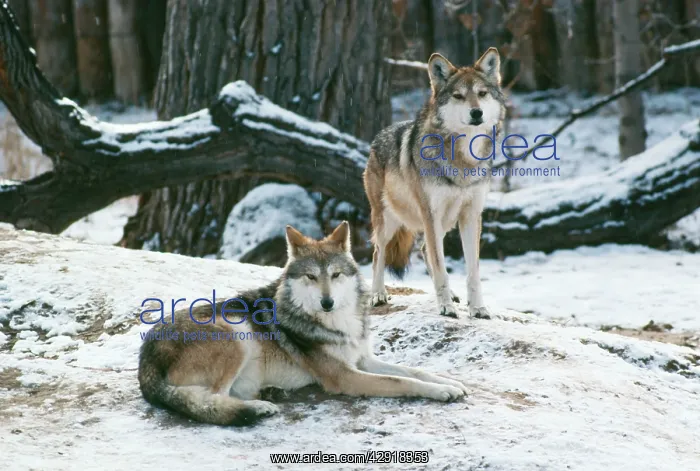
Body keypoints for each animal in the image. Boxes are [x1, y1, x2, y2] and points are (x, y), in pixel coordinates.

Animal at [138, 221, 467, 426]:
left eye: (335, 275)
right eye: (311, 276)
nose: (327, 302)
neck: (336, 322)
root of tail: (144, 364)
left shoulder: (362, 359)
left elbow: (414, 371)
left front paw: (450, 382)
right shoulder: (346, 377)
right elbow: (401, 381)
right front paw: (440, 392)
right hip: (236, 331)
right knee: (214, 399)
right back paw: (260, 407)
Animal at [363, 48, 506, 318]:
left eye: (482, 94)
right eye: (458, 96)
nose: (476, 113)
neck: (463, 159)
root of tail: (377, 137)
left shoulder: (471, 215)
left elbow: (473, 271)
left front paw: (477, 308)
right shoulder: (431, 214)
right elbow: (440, 266)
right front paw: (446, 308)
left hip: (444, 222)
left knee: (422, 250)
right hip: (389, 220)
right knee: (378, 253)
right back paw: (378, 294)